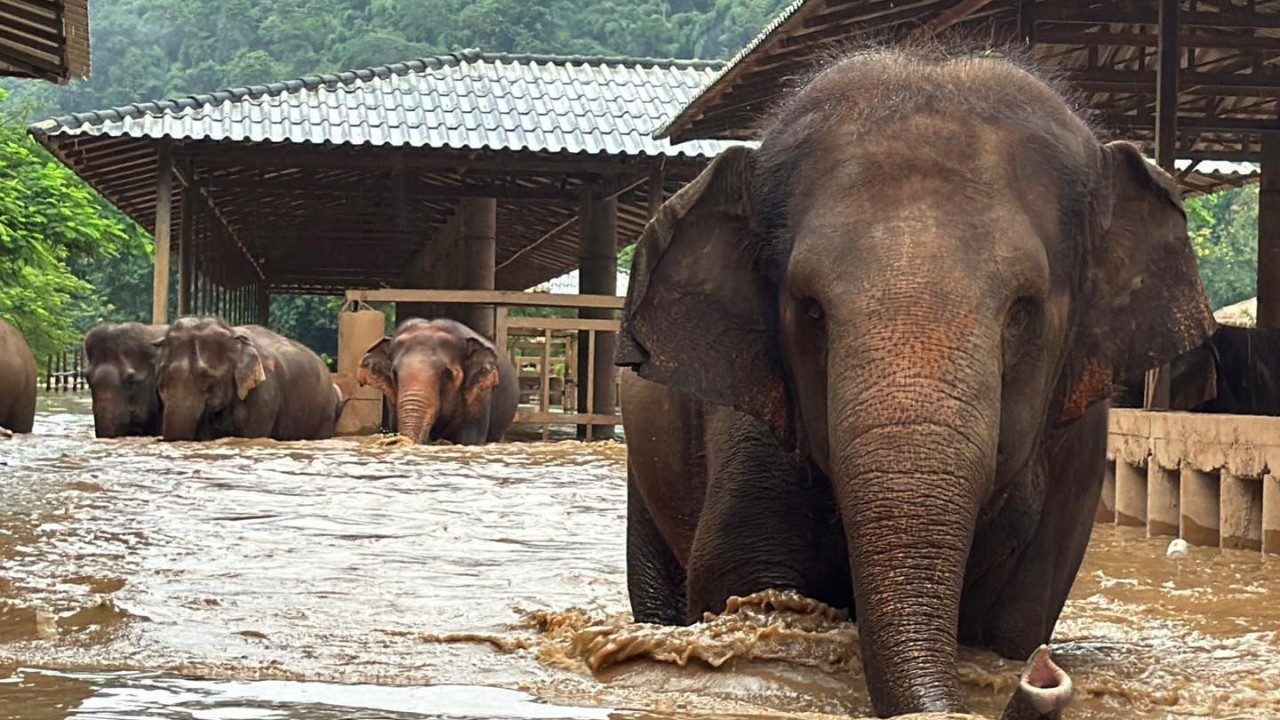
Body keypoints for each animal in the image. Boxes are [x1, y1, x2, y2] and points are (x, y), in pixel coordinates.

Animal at [614, 47, 1213, 712]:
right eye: (810, 310)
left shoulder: (1078, 449)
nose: (1046, 676)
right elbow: (740, 578)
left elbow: (1017, 616)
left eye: (1023, 309)